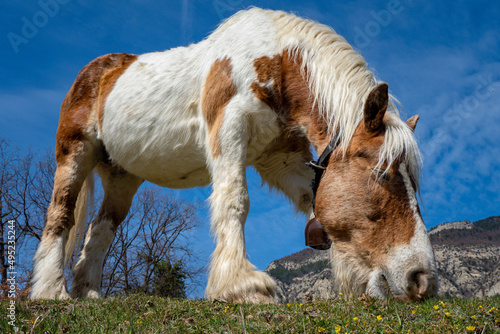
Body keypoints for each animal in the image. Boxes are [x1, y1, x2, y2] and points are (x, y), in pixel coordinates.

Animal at [31, 7, 438, 302]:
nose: (422, 279)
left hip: (122, 177)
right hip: (75, 154)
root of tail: (98, 70)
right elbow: (235, 201)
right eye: (382, 173)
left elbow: (313, 200)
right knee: (60, 215)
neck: (274, 61)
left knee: (99, 231)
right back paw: (51, 292)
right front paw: (242, 286)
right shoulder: (228, 132)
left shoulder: (282, 157)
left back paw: (90, 293)